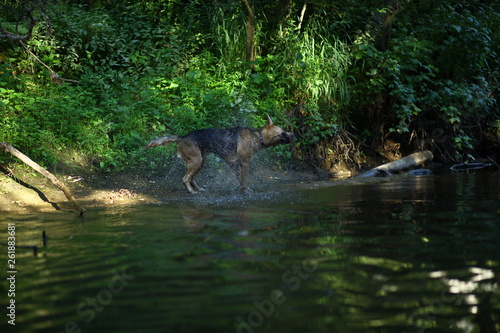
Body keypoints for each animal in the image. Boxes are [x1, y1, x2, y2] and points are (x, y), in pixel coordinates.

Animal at [144, 115, 292, 193]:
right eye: (283, 132)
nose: (294, 135)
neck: (259, 137)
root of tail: (183, 137)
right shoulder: (244, 163)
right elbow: (244, 180)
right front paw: (246, 190)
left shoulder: (234, 164)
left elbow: (240, 179)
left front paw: (242, 189)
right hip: (196, 161)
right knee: (185, 179)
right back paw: (192, 192)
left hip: (201, 161)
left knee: (191, 178)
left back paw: (198, 189)